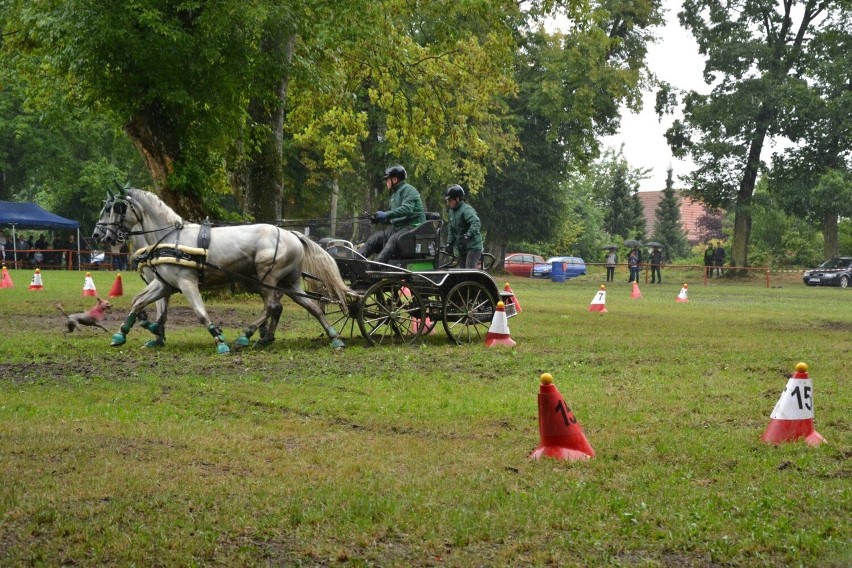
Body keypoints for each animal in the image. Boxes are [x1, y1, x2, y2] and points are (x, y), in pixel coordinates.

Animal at [90, 189, 350, 352]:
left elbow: (199, 312)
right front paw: (126, 333)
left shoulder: (186, 283)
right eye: (105, 209)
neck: (169, 239)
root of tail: (292, 234)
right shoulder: (165, 283)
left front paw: (219, 339)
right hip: (288, 281)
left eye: (116, 209)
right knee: (310, 306)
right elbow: (140, 303)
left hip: (268, 276)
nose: (99, 235)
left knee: (273, 306)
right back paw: (332, 337)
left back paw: (247, 335)